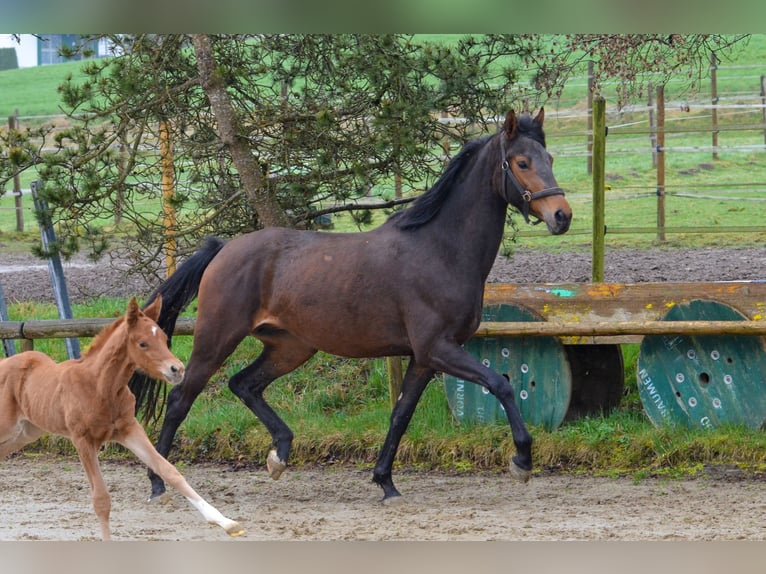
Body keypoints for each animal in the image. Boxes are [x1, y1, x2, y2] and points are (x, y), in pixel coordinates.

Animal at [0, 296, 244, 540]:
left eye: (165, 339)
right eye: (142, 343)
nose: (177, 369)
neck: (100, 386)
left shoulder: (129, 429)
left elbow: (169, 470)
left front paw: (227, 522)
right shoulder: (83, 440)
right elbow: (101, 500)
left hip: (23, 434)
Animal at [131, 108, 572, 503]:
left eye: (550, 159)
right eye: (522, 162)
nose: (562, 216)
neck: (440, 250)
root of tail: (223, 248)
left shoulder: (424, 358)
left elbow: (401, 414)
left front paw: (386, 483)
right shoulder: (439, 348)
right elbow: (502, 384)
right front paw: (522, 461)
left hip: (291, 347)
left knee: (244, 384)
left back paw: (280, 454)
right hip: (217, 337)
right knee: (180, 399)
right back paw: (157, 484)